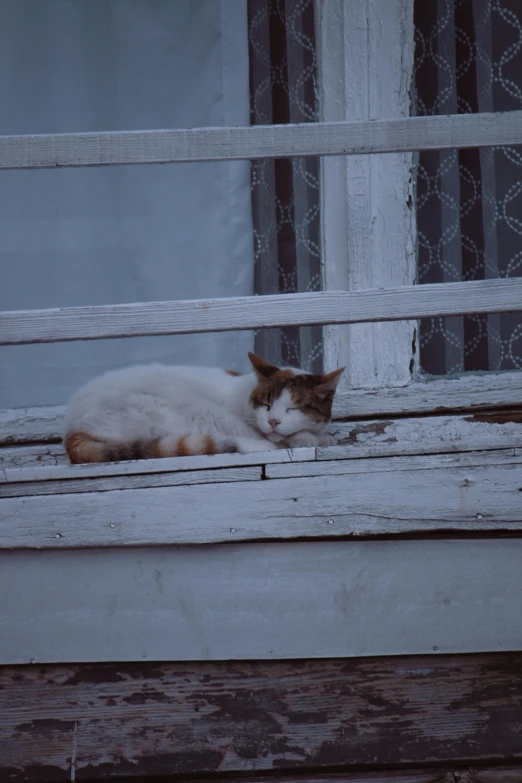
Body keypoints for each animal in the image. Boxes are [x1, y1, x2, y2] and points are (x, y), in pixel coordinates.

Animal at [63, 356, 344, 466]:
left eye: (293, 408)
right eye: (265, 405)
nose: (273, 421)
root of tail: (71, 428)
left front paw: (319, 435)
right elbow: (287, 437)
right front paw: (306, 438)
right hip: (199, 409)